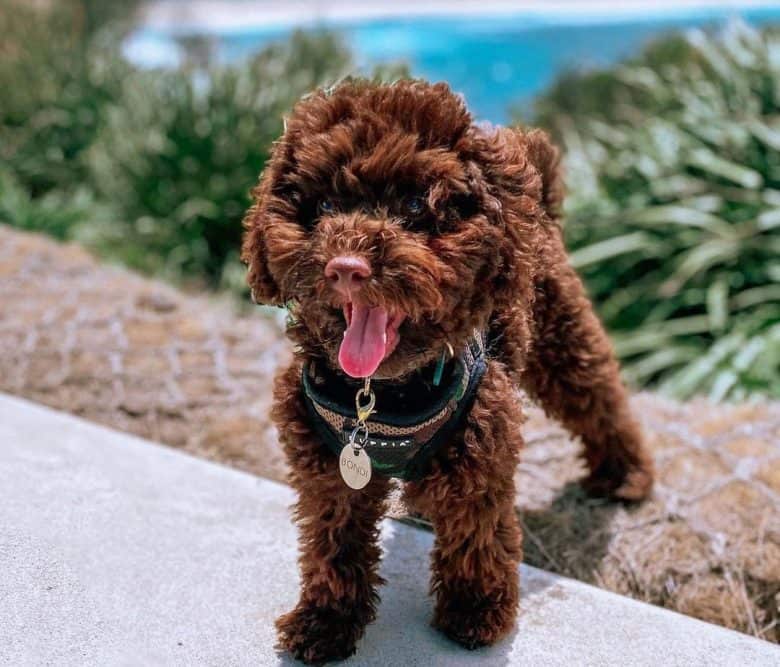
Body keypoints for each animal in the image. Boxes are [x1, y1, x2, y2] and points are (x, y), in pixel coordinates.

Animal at [241, 78, 656, 664]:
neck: (378, 395)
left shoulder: (480, 455)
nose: (346, 268)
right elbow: (333, 544)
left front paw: (475, 613)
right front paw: (326, 621)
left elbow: (475, 534)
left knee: (599, 400)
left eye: (416, 204)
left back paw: (625, 477)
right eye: (322, 205)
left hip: (563, 337)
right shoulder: (326, 468)